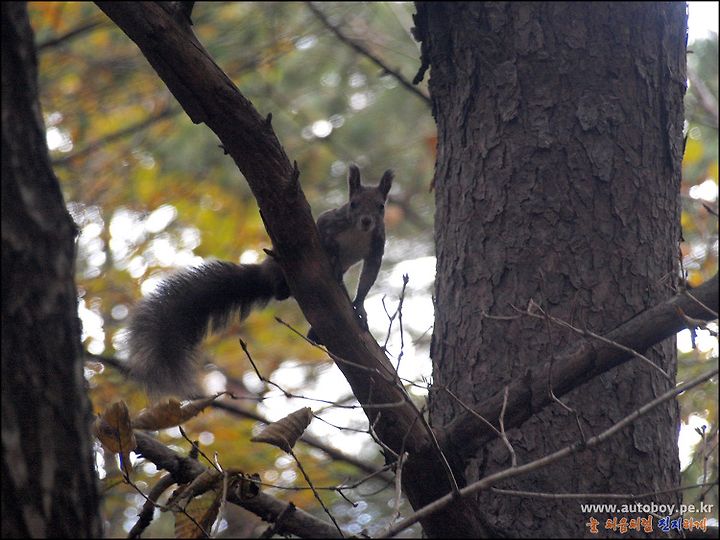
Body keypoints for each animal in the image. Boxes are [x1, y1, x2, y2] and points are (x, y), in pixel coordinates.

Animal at [127, 165, 393, 397]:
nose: (367, 221)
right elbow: (324, 237)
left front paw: (359, 306)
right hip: (282, 268)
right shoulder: (331, 222)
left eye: (381, 207)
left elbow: (368, 277)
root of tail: (266, 272)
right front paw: (335, 259)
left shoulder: (377, 246)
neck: (358, 233)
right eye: (353, 204)